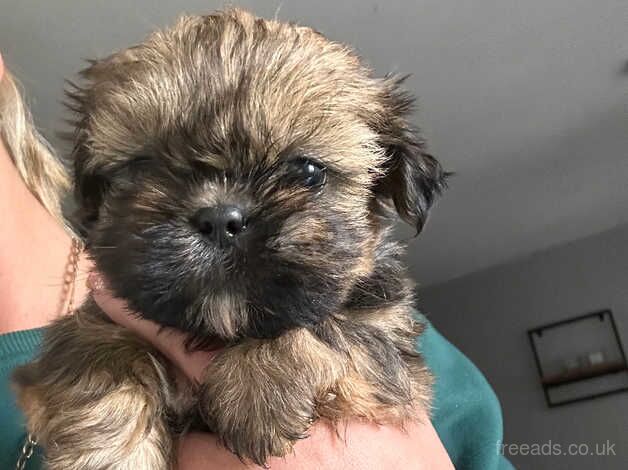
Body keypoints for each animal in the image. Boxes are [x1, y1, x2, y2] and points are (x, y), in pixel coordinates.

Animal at [13, 8, 446, 470]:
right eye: (143, 166)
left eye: (308, 171)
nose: (220, 218)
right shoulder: (93, 326)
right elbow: (104, 359)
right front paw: (113, 454)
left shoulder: (391, 344)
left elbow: (339, 326)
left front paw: (260, 384)